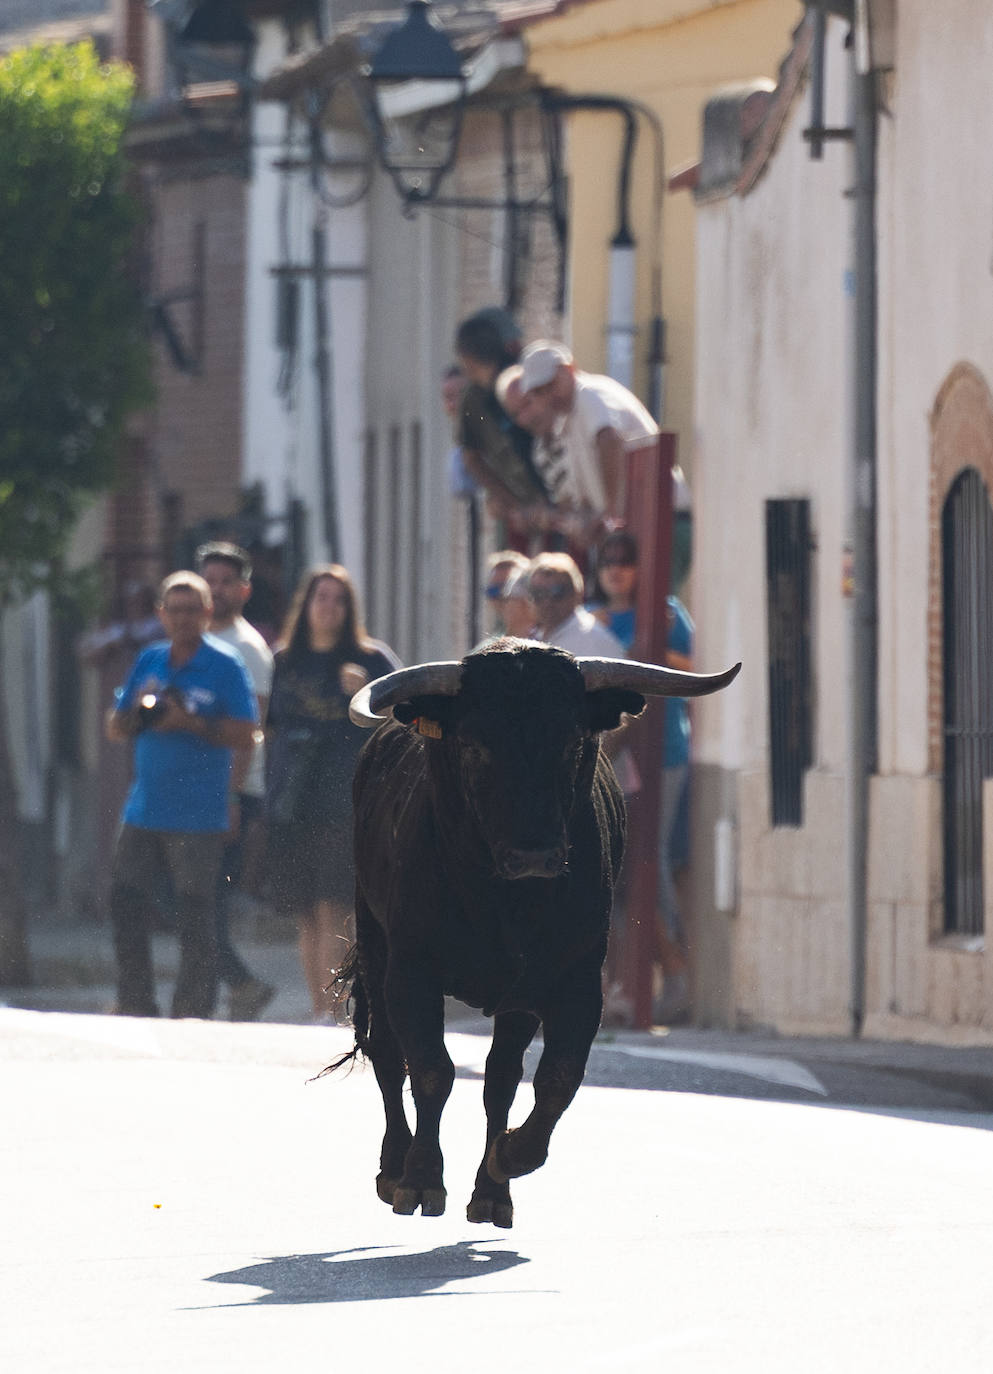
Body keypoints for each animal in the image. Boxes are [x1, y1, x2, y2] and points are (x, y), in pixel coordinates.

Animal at [329, 637, 741, 1231]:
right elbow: (430, 1069)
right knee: (386, 1051)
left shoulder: (577, 981)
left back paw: (491, 1192)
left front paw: (509, 1158)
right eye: (474, 745)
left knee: (499, 1077)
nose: (534, 857)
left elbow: (558, 1077)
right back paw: (393, 1167)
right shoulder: (411, 970)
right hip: (375, 944)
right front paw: (421, 1179)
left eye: (572, 742)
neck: (506, 903)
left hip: (515, 1000)